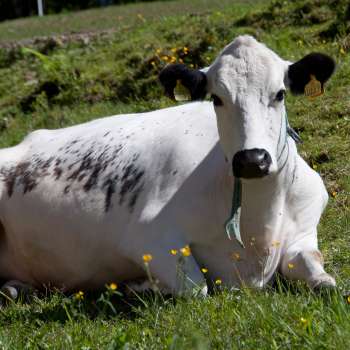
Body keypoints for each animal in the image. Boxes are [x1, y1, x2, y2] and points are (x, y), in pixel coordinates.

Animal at [0, 34, 334, 298]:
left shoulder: (305, 226)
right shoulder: (149, 236)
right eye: (216, 98)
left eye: (280, 94)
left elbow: (315, 267)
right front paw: (141, 285)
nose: (252, 159)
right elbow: (197, 288)